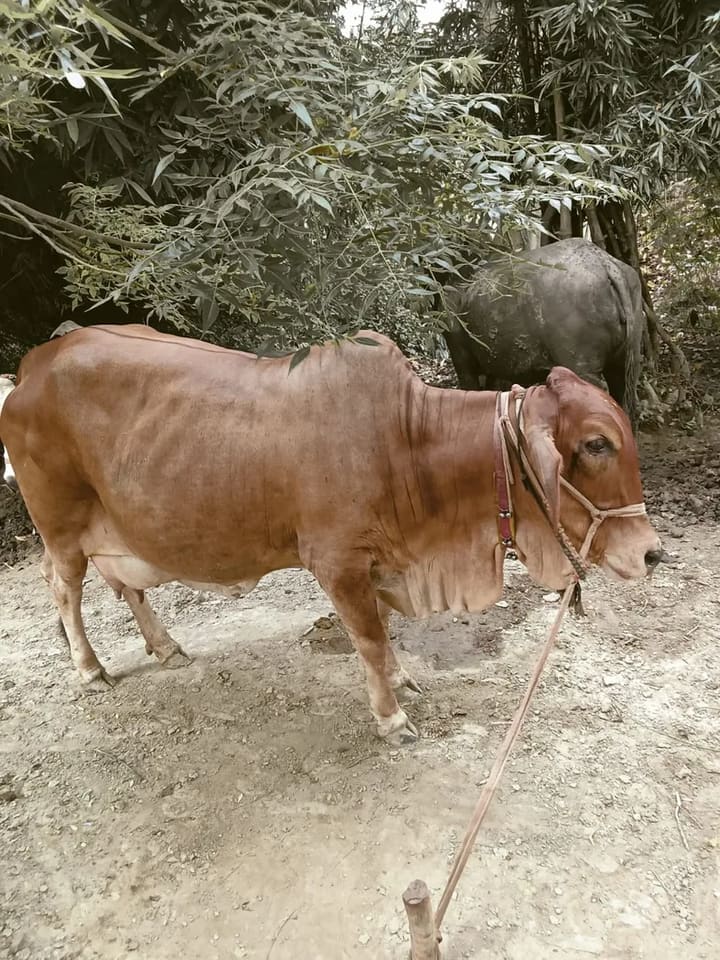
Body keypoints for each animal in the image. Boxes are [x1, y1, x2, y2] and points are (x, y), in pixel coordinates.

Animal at [0, 324, 661, 745]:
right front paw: (391, 718)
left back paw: (164, 647)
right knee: (65, 589)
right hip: (59, 526)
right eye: (597, 443)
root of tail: (35, 362)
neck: (408, 442)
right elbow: (367, 637)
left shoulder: (378, 560)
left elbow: (385, 631)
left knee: (128, 586)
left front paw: (401, 679)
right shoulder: (337, 563)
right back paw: (89, 668)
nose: (652, 552)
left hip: (118, 526)